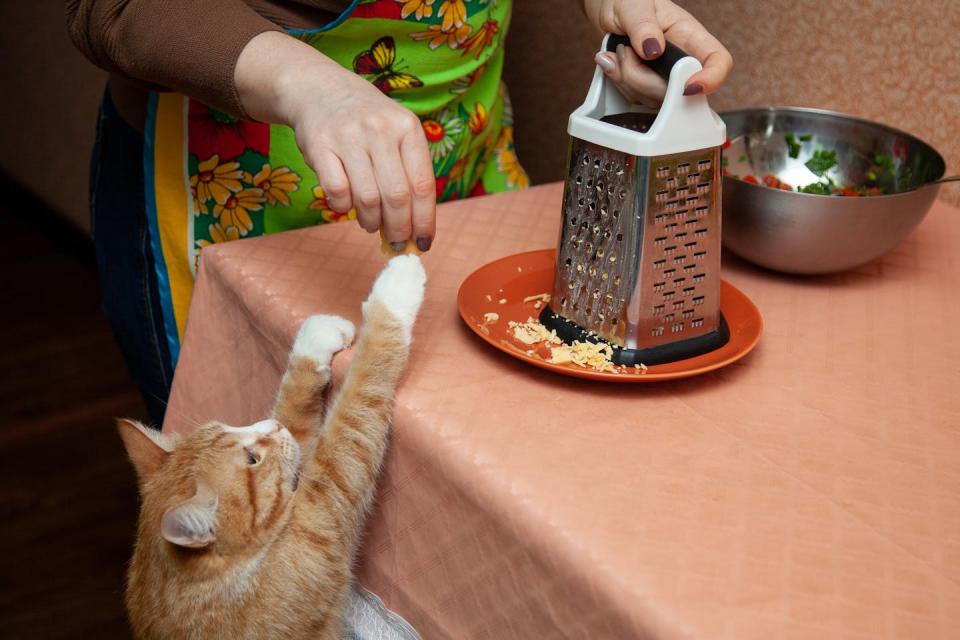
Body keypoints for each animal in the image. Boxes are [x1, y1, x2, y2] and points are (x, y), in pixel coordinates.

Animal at [116, 256, 424, 640]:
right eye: (252, 459)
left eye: (229, 425)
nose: (271, 427)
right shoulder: (322, 509)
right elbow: (358, 399)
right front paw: (398, 284)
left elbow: (294, 401)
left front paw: (316, 338)